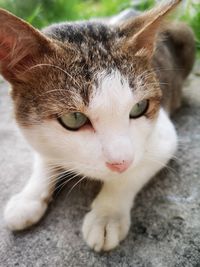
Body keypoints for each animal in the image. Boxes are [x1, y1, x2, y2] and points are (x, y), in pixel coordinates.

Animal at [0, 0, 194, 251]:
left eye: (139, 107)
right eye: (74, 119)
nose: (120, 163)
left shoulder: (164, 137)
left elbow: (134, 172)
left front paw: (107, 216)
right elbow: (45, 156)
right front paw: (28, 198)